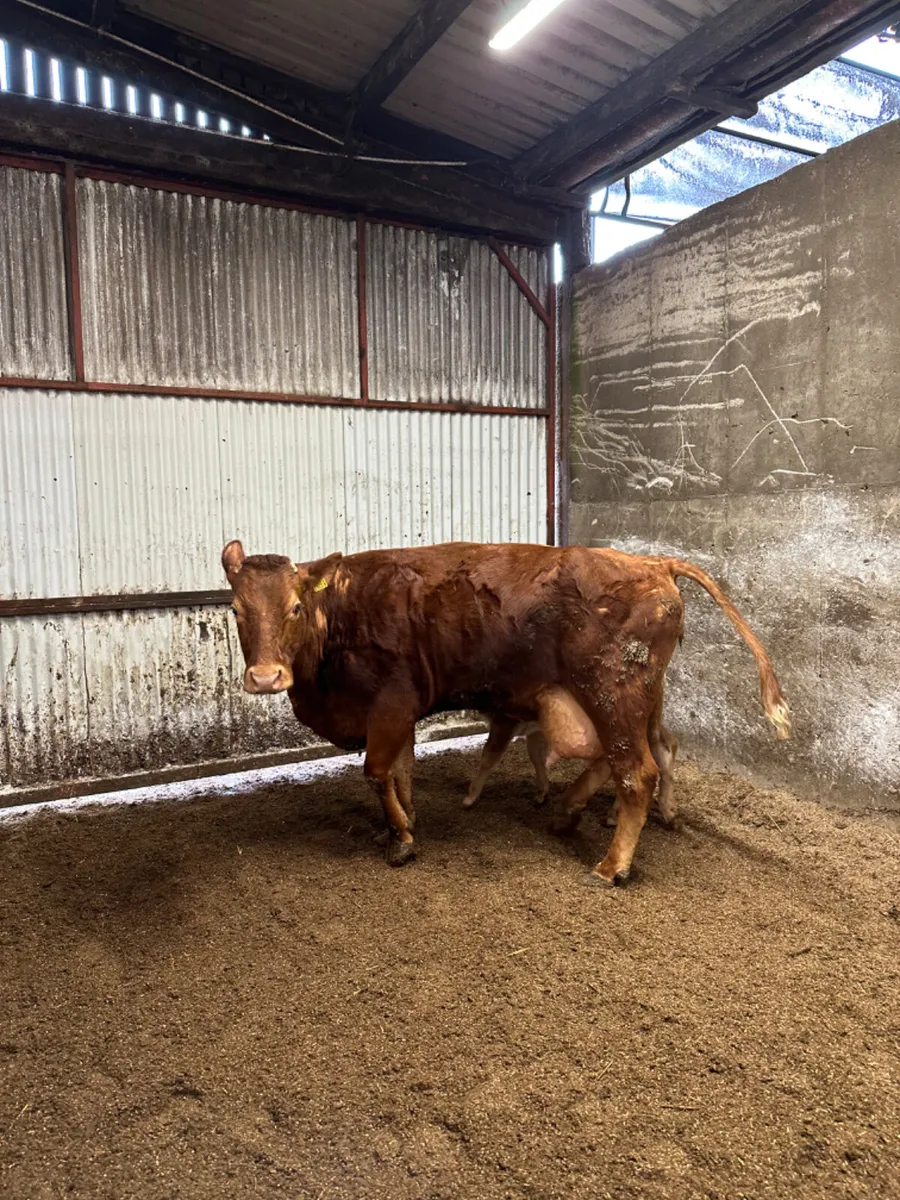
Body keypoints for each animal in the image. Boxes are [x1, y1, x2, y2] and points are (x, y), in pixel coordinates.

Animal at [222, 540, 789, 886]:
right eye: (235, 608)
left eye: (295, 606)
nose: (266, 677)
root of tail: (650, 563)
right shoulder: (398, 715)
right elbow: (403, 772)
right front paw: (406, 822)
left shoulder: (391, 703)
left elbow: (378, 771)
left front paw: (401, 840)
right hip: (627, 699)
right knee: (634, 754)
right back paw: (576, 813)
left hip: (614, 692)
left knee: (636, 771)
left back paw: (612, 864)